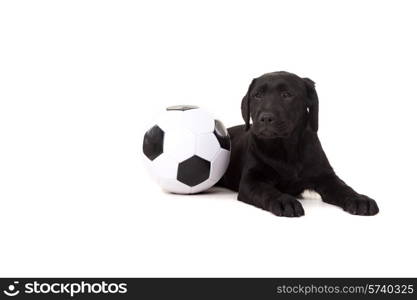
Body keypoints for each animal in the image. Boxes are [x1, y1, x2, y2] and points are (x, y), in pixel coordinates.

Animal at [219, 71, 378, 217]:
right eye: (257, 95)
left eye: (286, 95)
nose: (265, 118)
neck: (285, 148)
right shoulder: (251, 180)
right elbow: (268, 191)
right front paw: (284, 201)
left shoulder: (326, 176)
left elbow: (343, 188)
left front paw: (359, 199)